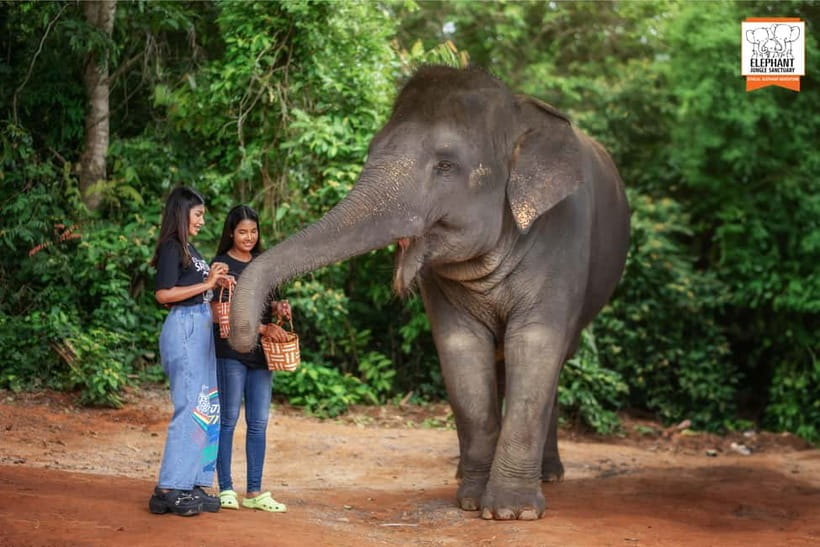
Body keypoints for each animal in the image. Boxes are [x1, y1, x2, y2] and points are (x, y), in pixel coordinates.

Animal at [230, 65, 630, 520]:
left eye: (446, 165)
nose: (247, 335)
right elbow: (461, 351)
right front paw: (472, 501)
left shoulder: (562, 238)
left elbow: (536, 346)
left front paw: (512, 512)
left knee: (555, 359)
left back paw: (550, 476)